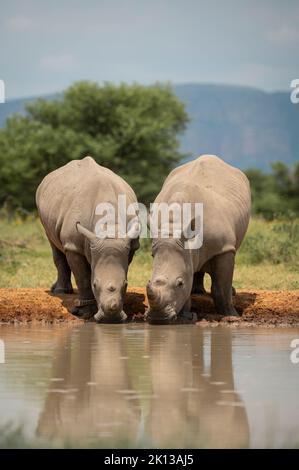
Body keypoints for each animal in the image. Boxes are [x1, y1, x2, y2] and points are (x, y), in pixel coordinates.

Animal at [37, 156, 140, 322]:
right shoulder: (74, 246)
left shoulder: (129, 245)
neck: (108, 227)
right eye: (95, 285)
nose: (111, 317)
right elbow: (83, 278)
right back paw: (60, 292)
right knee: (53, 243)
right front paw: (85, 313)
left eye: (126, 285)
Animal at [146, 154, 252, 324]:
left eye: (180, 283)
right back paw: (198, 291)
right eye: (149, 281)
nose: (158, 318)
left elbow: (221, 288)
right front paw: (186, 316)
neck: (174, 224)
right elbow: (188, 273)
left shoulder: (224, 248)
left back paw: (230, 293)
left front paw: (232, 315)